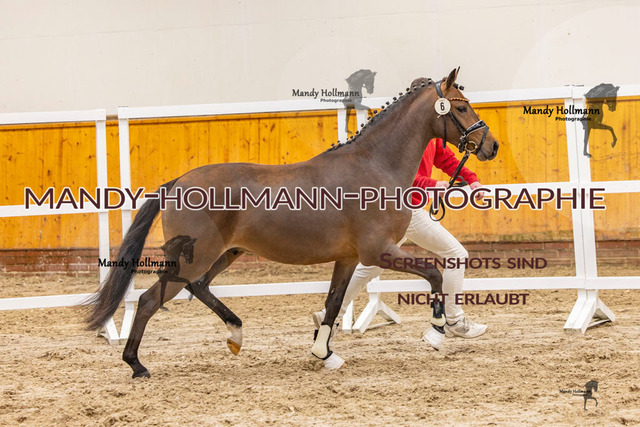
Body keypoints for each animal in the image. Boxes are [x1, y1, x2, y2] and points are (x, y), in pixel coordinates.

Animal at [86, 68, 499, 378]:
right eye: (461, 107)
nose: (491, 146)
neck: (374, 166)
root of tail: (175, 184)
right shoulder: (377, 252)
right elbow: (433, 274)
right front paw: (438, 331)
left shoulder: (349, 258)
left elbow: (333, 303)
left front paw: (323, 353)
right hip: (195, 258)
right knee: (149, 299)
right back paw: (137, 365)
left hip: (225, 253)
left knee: (199, 287)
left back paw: (235, 334)